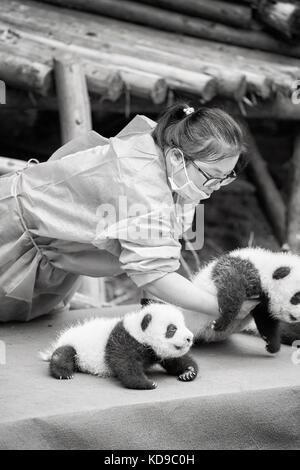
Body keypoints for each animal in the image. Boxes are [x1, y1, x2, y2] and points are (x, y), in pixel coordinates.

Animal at [40, 302, 199, 392]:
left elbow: (174, 360)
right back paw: (64, 373)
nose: (189, 338)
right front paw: (147, 383)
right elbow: (125, 364)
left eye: (184, 324)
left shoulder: (155, 351)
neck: (138, 333)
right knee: (63, 354)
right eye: (172, 329)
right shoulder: (123, 341)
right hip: (74, 345)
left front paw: (188, 372)